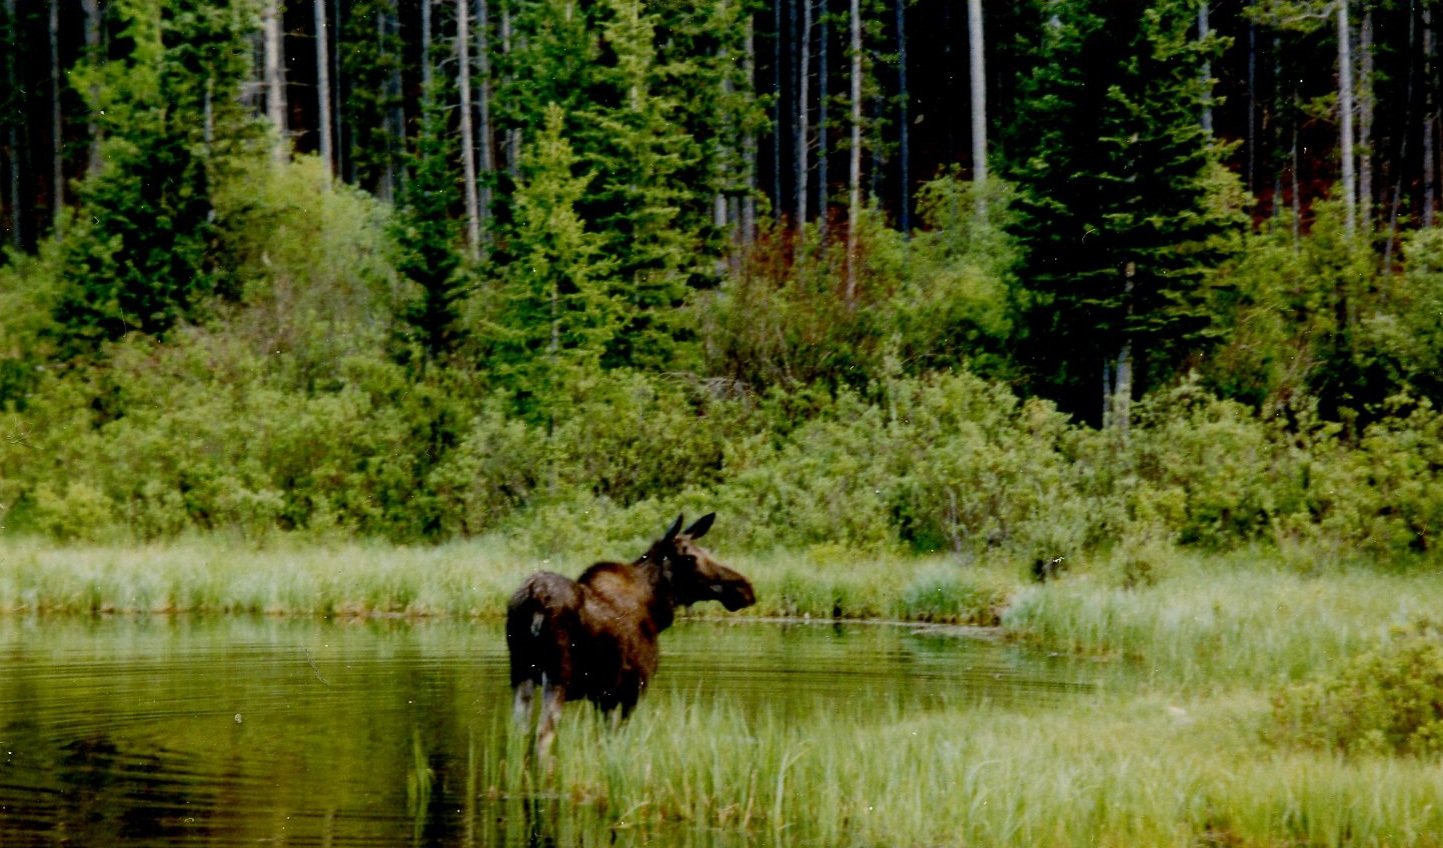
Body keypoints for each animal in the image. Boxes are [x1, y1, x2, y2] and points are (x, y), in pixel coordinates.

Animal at [505, 512, 755, 756]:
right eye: (690, 558)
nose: (745, 588)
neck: (655, 610)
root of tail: (534, 597)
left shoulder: (603, 696)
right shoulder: (632, 688)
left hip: (521, 673)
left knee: (519, 735)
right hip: (557, 676)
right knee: (543, 735)